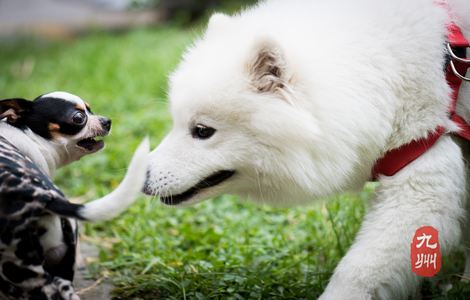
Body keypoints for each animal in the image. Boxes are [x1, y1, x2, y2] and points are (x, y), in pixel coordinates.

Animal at [0, 92, 149, 300]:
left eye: (90, 109)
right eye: (79, 118)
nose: (107, 121)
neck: (27, 136)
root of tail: (37, 194)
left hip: (17, 268)